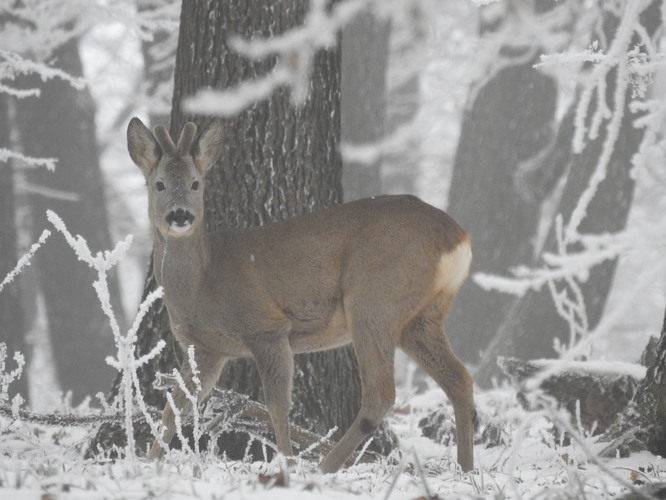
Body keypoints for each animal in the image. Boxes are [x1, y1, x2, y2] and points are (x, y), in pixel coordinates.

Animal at [127, 117, 474, 472]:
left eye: (196, 184)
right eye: (159, 184)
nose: (180, 215)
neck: (203, 282)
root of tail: (458, 237)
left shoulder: (267, 327)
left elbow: (277, 406)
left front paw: (287, 464)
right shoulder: (206, 348)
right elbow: (174, 407)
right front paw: (148, 461)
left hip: (374, 299)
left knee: (381, 393)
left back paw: (325, 467)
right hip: (422, 316)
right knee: (459, 379)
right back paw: (466, 468)